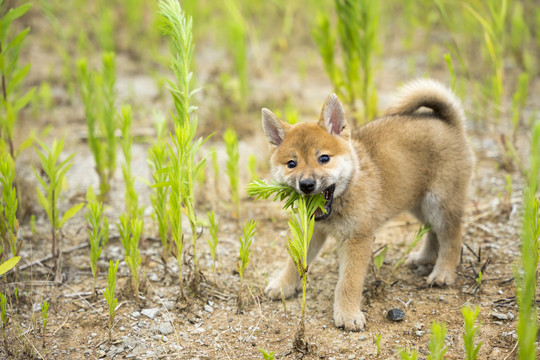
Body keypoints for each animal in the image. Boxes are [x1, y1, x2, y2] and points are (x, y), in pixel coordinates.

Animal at [260, 79, 472, 332]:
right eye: (292, 164)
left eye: (324, 158)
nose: (307, 184)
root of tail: (447, 121)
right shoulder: (311, 232)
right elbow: (295, 261)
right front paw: (283, 285)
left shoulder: (357, 240)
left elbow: (348, 282)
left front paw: (347, 315)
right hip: (417, 203)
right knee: (433, 231)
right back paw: (424, 257)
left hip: (439, 203)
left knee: (451, 236)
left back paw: (443, 273)